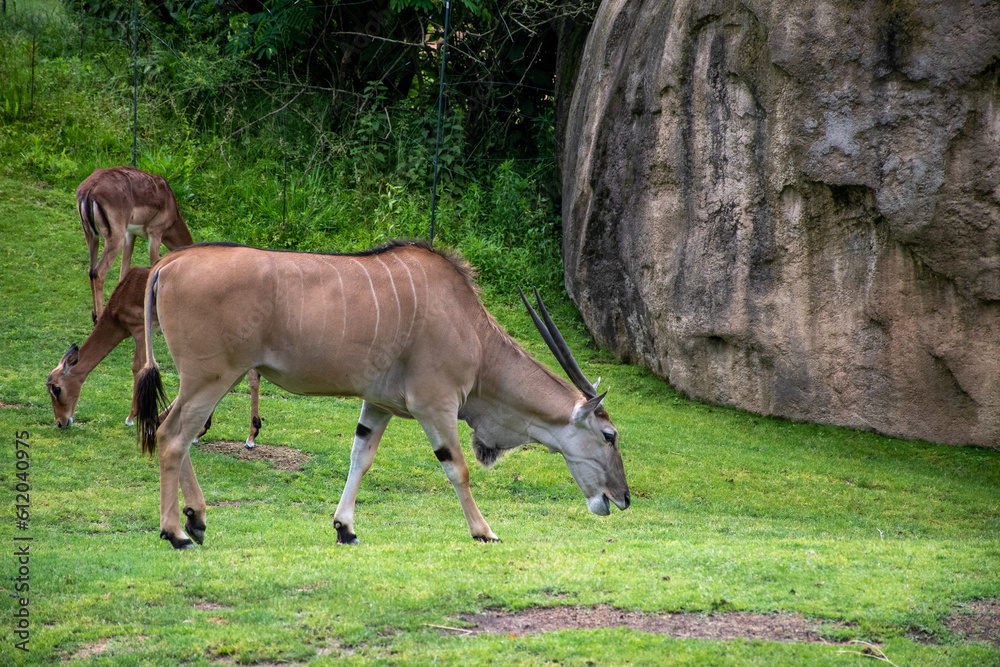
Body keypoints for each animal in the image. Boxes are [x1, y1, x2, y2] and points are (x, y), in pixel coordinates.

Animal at [47, 266, 264, 447]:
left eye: (56, 388)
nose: (60, 422)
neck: (122, 296)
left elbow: (138, 366)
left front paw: (131, 417)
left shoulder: (139, 330)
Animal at [77, 166, 194, 322]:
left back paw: (95, 316)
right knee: (98, 273)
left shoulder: (130, 235)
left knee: (91, 271)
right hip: (115, 239)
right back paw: (100, 317)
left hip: (92, 237)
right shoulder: (155, 235)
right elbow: (153, 267)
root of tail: (89, 189)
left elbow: (124, 272)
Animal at [134, 241, 630, 549]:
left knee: (178, 431)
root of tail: (167, 266)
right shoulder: (436, 405)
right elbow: (458, 468)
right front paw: (484, 531)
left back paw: (197, 519)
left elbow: (361, 457)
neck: (471, 330)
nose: (623, 499)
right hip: (211, 377)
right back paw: (176, 533)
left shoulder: (378, 405)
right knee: (172, 435)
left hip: (210, 380)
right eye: (609, 436)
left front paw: (345, 528)